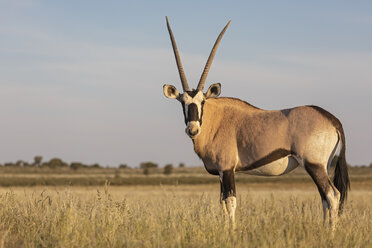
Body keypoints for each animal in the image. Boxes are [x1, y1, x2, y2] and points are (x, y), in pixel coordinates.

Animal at [162, 17, 348, 227]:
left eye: (202, 101)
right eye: (183, 102)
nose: (192, 129)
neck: (215, 121)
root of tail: (332, 119)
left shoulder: (227, 169)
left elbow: (230, 203)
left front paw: (232, 231)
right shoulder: (220, 173)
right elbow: (222, 204)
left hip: (314, 164)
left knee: (332, 195)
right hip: (322, 165)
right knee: (325, 198)